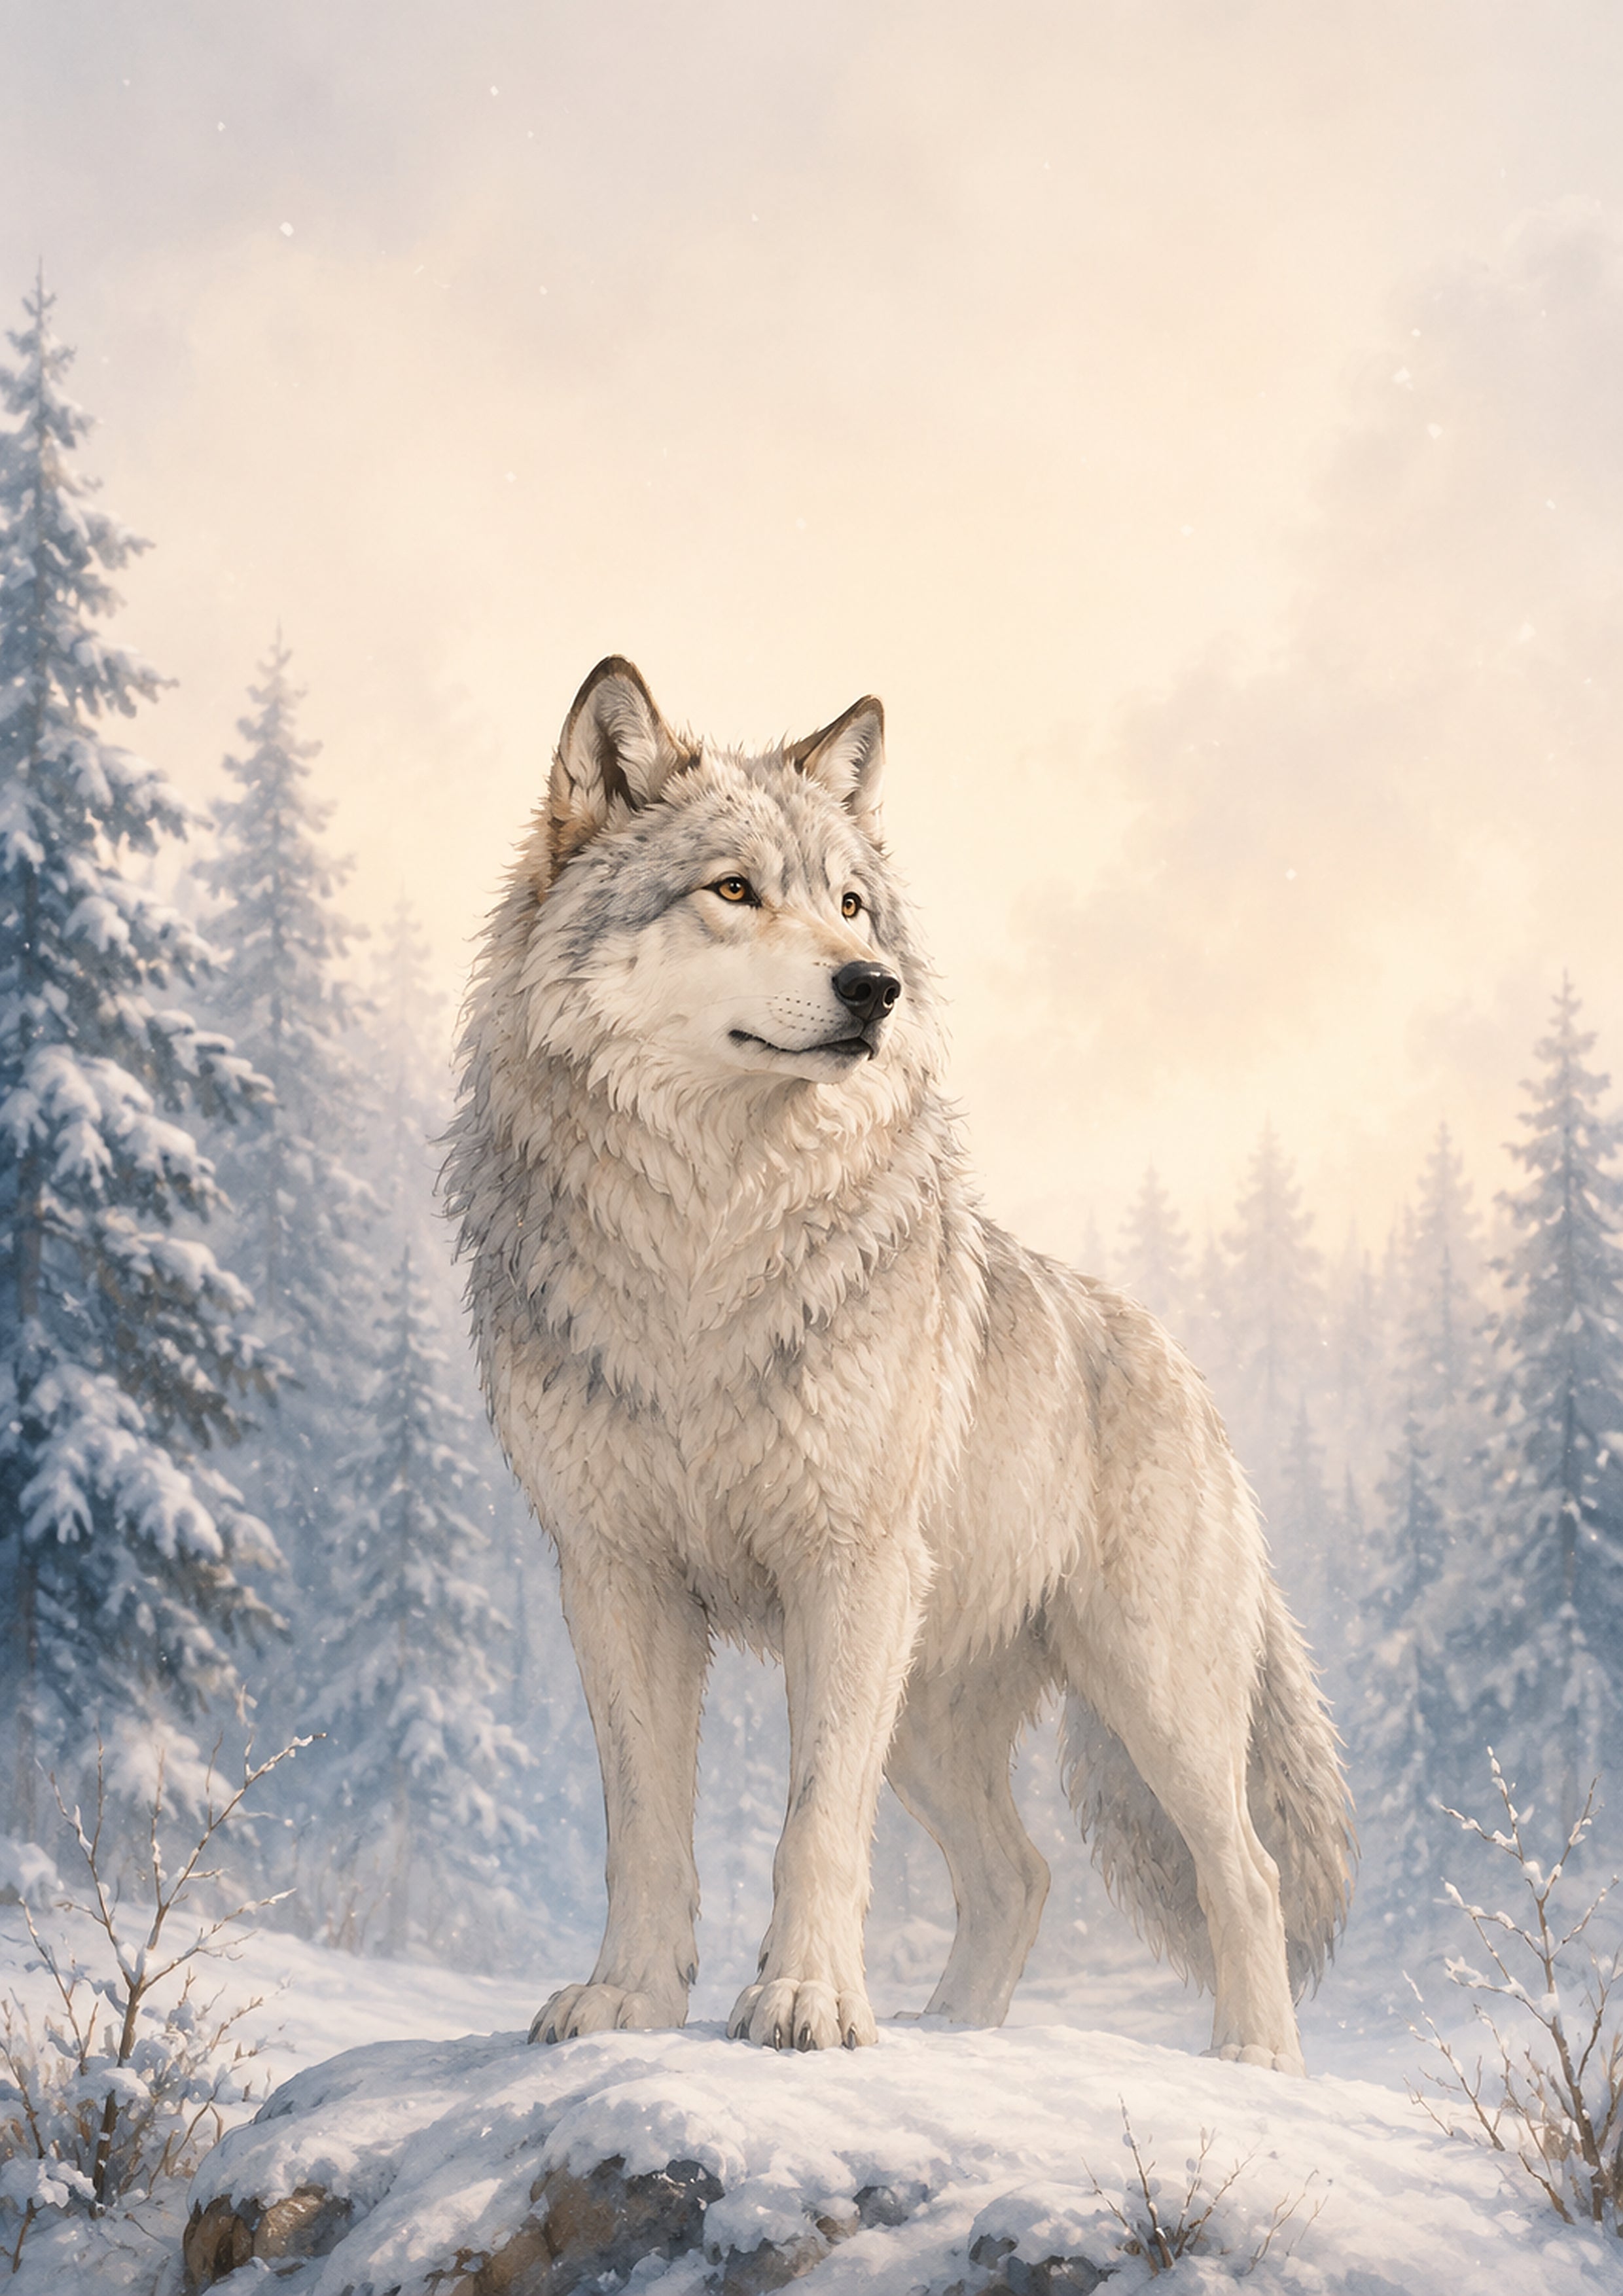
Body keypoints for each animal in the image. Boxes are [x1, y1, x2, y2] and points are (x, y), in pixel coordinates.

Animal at [445, 657, 1352, 2072]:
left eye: (851, 902)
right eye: (734, 890)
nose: (872, 987)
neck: (704, 1244)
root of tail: (1180, 1362)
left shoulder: (846, 1570)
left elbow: (816, 1819)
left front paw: (808, 2002)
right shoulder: (614, 1578)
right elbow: (644, 1826)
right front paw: (628, 2000)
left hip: (1141, 1688)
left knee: (1241, 1867)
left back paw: (1255, 2061)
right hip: (929, 1709)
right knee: (1020, 1874)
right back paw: (955, 2031)